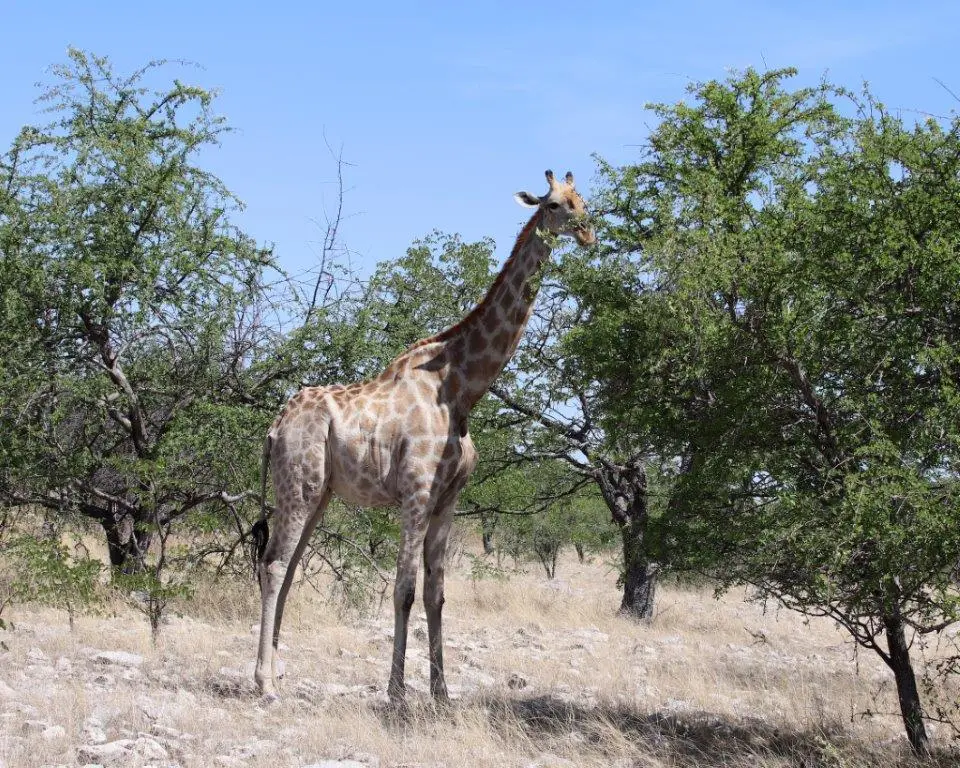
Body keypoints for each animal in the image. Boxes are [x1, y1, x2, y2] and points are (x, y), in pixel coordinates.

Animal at [253, 169, 595, 702]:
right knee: (271, 565)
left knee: (285, 567)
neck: (461, 388)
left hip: (319, 492)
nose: (588, 233)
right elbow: (405, 588)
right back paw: (264, 682)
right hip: (298, 484)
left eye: (583, 201)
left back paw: (280, 672)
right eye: (555, 204)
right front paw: (396, 692)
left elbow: (436, 593)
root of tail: (274, 427)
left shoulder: (448, 498)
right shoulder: (415, 491)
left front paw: (441, 692)